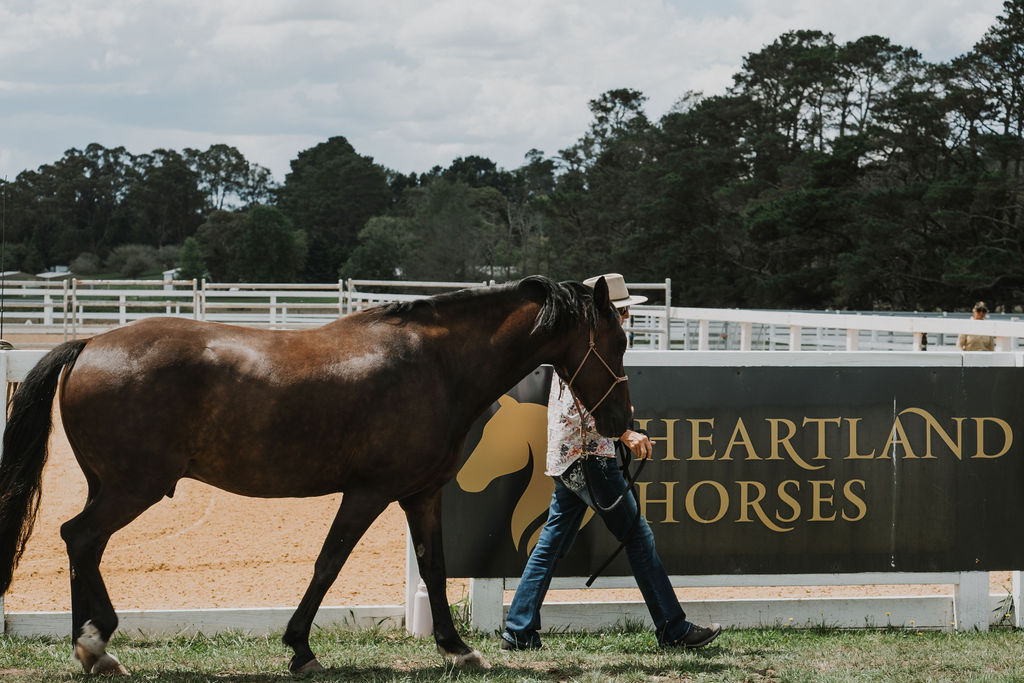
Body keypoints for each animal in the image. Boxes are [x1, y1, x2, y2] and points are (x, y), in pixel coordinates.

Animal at [0, 275, 632, 675]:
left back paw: (93, 646)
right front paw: (301, 649)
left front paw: (456, 648)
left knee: (82, 543)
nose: (622, 422)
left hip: (112, 487)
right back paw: (94, 642)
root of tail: (88, 344)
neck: (436, 367)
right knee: (80, 537)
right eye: (617, 341)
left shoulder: (420, 494)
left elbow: (433, 567)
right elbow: (329, 563)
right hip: (133, 488)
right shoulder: (369, 492)